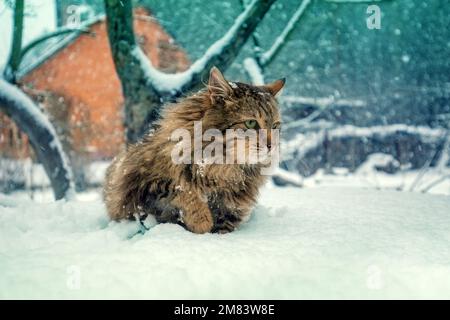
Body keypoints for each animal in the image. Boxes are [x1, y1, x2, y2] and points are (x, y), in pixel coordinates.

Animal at [103, 67, 284, 232]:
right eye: (251, 123)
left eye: (275, 126)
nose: (272, 145)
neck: (223, 168)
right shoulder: (144, 184)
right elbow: (184, 190)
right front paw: (202, 222)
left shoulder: (231, 209)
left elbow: (222, 226)